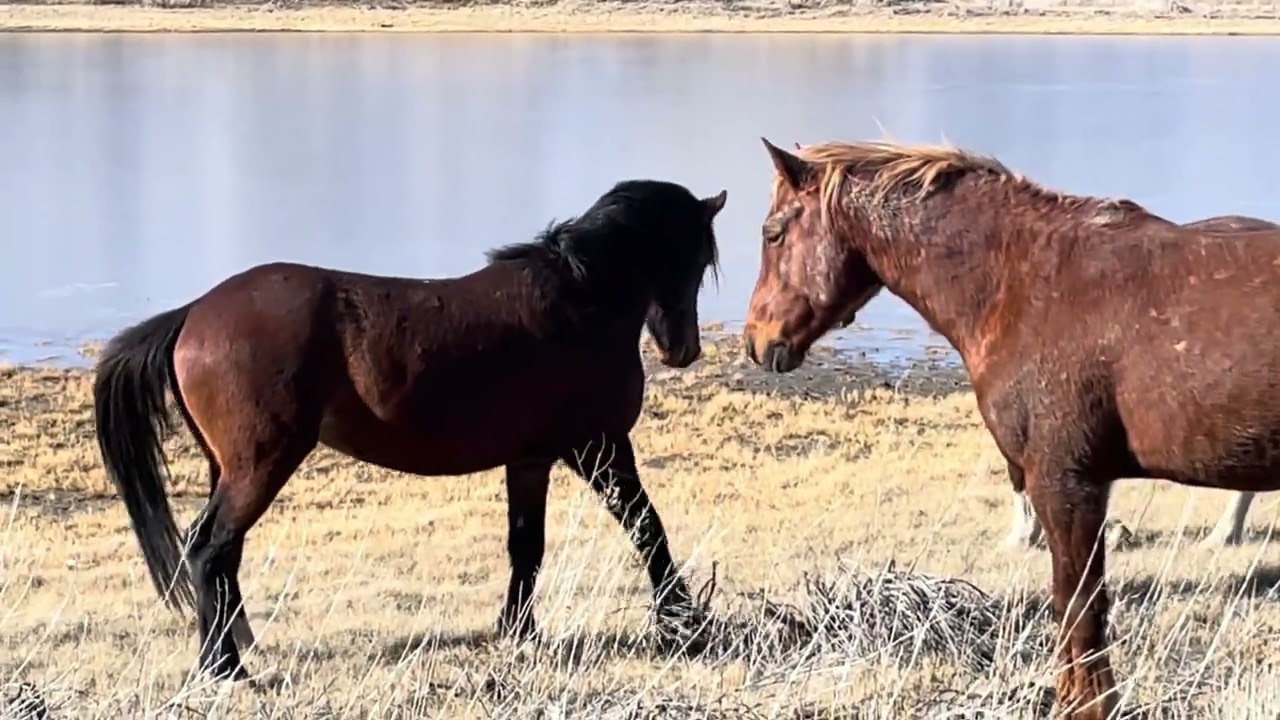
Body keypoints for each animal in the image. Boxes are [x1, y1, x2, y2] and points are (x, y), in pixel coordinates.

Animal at [93, 179, 728, 681]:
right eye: (697, 259)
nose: (683, 350)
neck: (577, 303)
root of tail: (193, 314)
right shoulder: (598, 447)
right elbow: (648, 529)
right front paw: (683, 622)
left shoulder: (531, 459)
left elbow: (527, 545)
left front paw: (518, 633)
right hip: (260, 464)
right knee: (209, 549)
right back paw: (222, 668)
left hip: (230, 468)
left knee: (220, 554)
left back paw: (230, 653)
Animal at [742, 136, 1280, 719]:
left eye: (773, 232)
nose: (756, 339)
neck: (1024, 283)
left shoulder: (1066, 484)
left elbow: (1078, 605)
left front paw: (1087, 705)